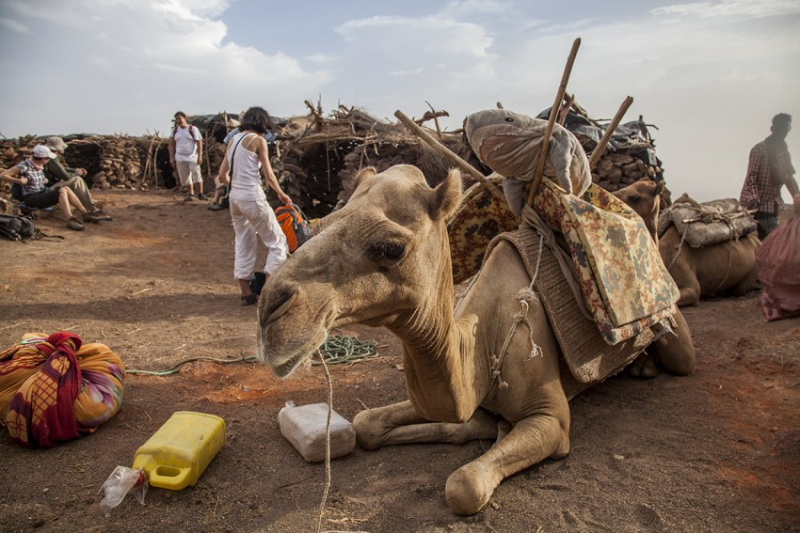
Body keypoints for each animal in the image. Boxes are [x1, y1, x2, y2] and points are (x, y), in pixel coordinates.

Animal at [258, 166, 692, 516]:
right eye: (318, 224)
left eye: (391, 248)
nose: (268, 313)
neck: (481, 346)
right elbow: (368, 424)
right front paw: (480, 426)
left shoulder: (551, 419)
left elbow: (464, 486)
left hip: (675, 329)